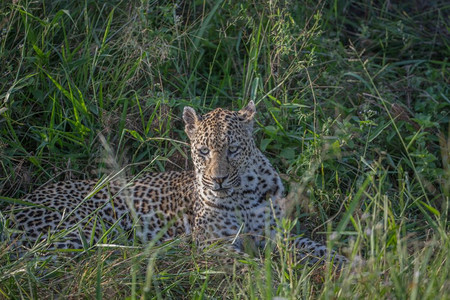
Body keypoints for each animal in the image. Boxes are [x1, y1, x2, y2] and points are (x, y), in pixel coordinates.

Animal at [6, 102, 348, 266]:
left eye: (232, 149)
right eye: (203, 151)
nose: (217, 179)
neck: (243, 193)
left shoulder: (278, 232)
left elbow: (315, 247)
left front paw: (346, 262)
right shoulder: (213, 244)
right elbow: (252, 262)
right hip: (80, 228)